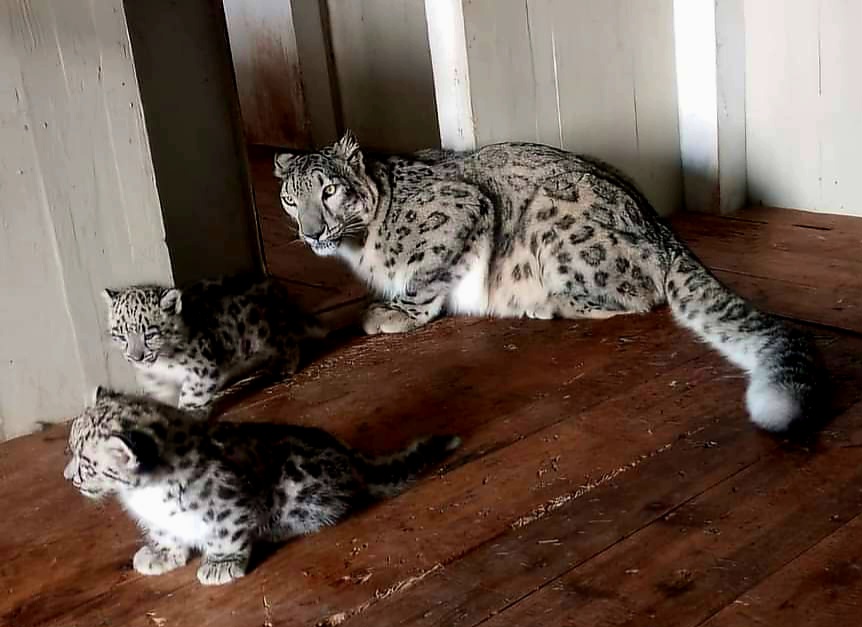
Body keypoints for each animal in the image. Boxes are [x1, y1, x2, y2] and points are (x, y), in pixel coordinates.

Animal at [276, 131, 824, 436]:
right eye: (290, 199)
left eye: (330, 190)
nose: (311, 231)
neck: (356, 248)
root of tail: (661, 227)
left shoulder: (458, 211)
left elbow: (428, 270)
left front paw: (393, 313)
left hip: (555, 219)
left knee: (642, 293)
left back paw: (546, 303)